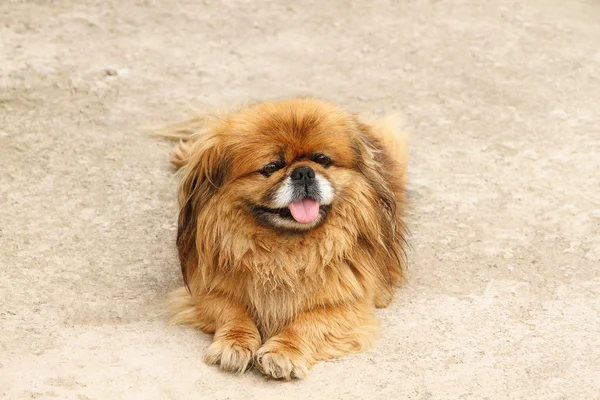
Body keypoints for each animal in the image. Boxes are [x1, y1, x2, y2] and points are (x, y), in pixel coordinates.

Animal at [162, 97, 410, 382]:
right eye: (271, 167)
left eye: (322, 160)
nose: (303, 172)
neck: (286, 247)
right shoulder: (206, 289)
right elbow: (233, 312)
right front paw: (234, 344)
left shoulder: (348, 304)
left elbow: (309, 322)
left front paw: (283, 352)